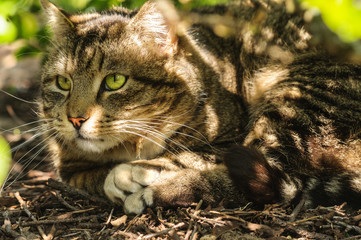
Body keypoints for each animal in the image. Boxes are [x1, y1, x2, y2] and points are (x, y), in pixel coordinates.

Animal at [39, 0, 360, 214]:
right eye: (63, 83)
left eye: (115, 81)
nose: (75, 119)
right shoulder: (71, 167)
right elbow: (91, 174)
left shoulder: (228, 139)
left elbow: (194, 155)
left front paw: (133, 172)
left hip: (294, 100)